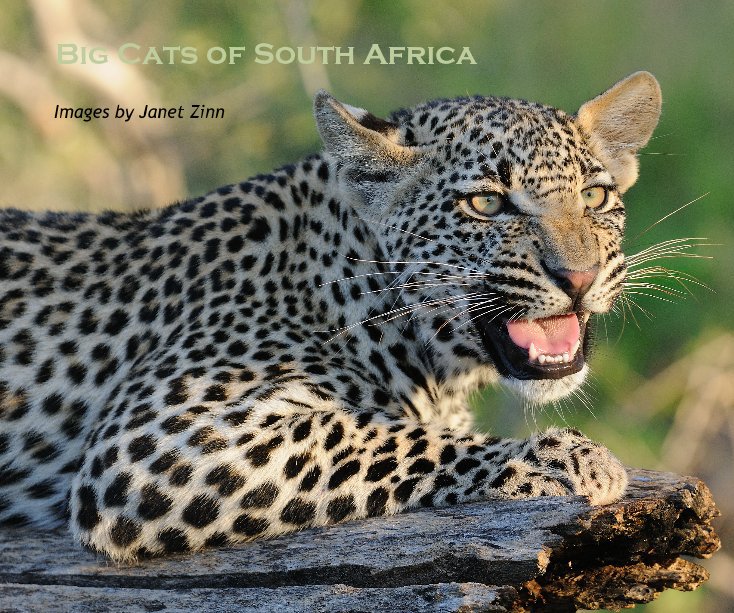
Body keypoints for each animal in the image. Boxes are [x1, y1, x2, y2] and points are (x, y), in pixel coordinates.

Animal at [0, 70, 664, 560]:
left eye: (595, 197)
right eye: (485, 204)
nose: (579, 279)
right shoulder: (154, 438)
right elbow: (373, 437)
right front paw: (566, 458)